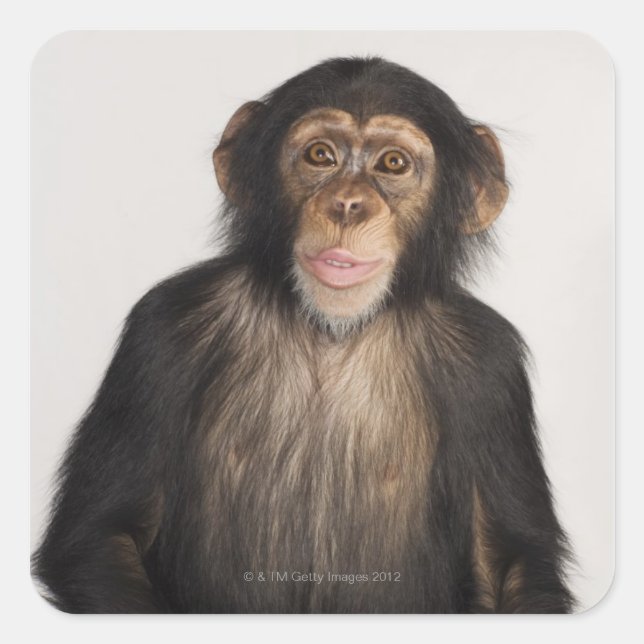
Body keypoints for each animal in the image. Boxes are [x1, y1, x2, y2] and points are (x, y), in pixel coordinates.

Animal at [32, 56, 574, 613]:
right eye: (321, 155)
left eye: (393, 164)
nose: (349, 204)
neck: (331, 331)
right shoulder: (163, 331)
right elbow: (104, 536)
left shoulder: (489, 367)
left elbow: (505, 561)